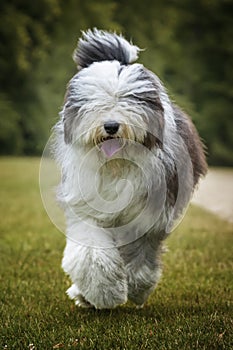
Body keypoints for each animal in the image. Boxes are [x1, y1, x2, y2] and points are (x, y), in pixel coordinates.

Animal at [53, 30, 207, 308]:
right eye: (97, 103)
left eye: (129, 101)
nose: (111, 126)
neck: (117, 165)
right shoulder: (87, 206)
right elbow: (90, 253)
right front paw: (104, 293)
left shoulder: (151, 214)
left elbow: (141, 256)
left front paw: (136, 289)